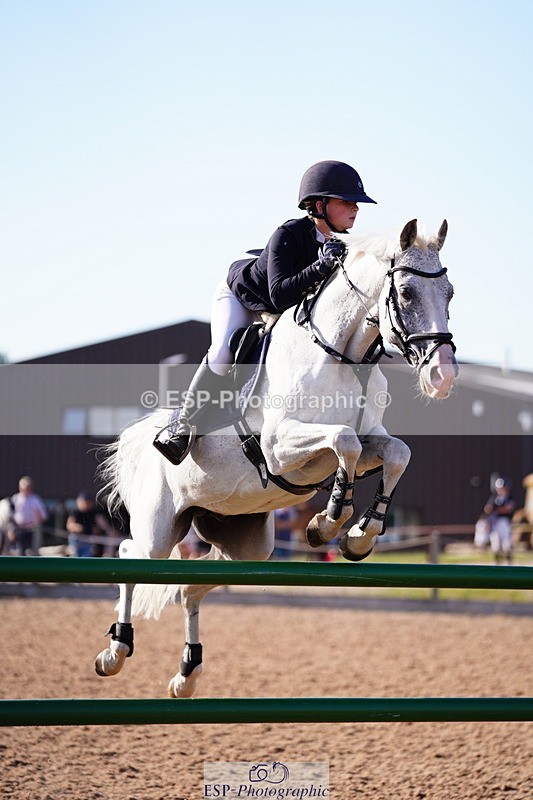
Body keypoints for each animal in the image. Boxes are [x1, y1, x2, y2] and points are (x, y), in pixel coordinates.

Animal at [95, 218, 458, 698]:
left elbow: (396, 452)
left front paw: (360, 535)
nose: (443, 376)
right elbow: (344, 441)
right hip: (159, 527)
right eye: (406, 293)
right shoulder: (278, 447)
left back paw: (187, 674)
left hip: (245, 543)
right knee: (130, 556)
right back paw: (115, 651)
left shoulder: (371, 442)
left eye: (450, 293)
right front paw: (328, 521)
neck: (345, 356)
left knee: (190, 587)